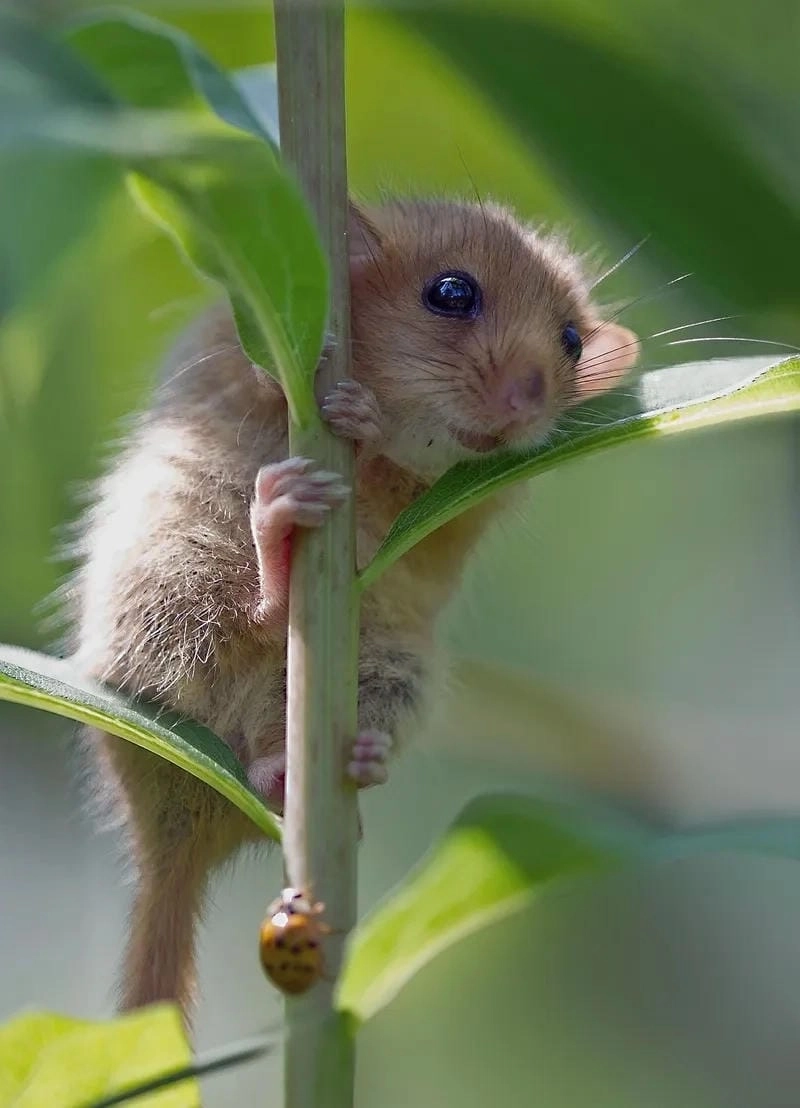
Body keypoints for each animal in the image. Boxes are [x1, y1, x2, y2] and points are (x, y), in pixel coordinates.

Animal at [64, 198, 639, 1021]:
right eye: (452, 292)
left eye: (570, 340)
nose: (527, 402)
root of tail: (176, 843)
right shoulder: (228, 357)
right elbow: (271, 383)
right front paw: (350, 408)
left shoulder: (463, 509)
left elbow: (416, 488)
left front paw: (369, 428)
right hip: (172, 576)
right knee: (240, 622)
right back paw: (278, 531)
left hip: (393, 663)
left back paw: (345, 759)